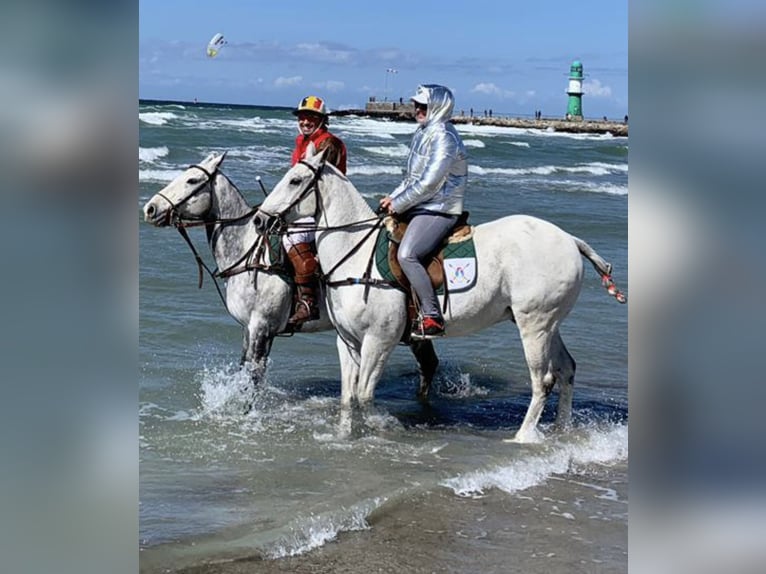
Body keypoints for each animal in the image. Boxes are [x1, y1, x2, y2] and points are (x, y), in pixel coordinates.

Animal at [142, 153, 438, 402]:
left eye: (192, 180)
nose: (150, 209)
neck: (248, 253)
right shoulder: (248, 329)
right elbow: (244, 370)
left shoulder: (261, 327)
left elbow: (254, 376)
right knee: (428, 362)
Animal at [255, 151, 628, 444]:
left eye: (295, 180)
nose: (259, 220)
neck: (355, 253)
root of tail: (570, 240)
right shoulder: (348, 342)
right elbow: (348, 398)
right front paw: (346, 437)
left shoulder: (379, 341)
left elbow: (364, 395)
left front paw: (384, 426)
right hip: (550, 325)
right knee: (567, 370)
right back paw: (562, 430)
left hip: (533, 325)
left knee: (543, 380)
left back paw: (523, 436)